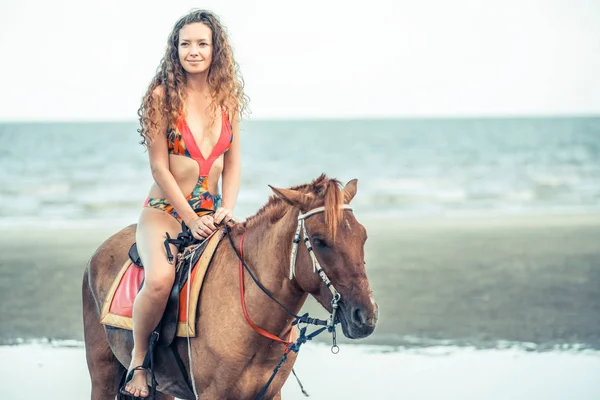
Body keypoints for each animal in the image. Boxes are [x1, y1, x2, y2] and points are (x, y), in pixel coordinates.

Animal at [83, 175, 380, 400]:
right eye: (319, 240)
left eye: (363, 236)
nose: (365, 315)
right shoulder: (212, 395)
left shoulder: (271, 393)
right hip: (102, 374)